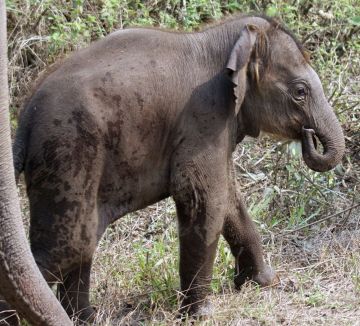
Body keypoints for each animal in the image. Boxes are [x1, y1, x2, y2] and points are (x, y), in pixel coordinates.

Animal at [7, 13, 344, 324]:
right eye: (300, 92)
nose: (309, 135)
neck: (223, 39)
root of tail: (25, 117)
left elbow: (230, 200)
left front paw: (266, 282)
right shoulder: (204, 116)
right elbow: (204, 199)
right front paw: (201, 315)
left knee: (82, 242)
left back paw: (87, 319)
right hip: (69, 153)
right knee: (70, 246)